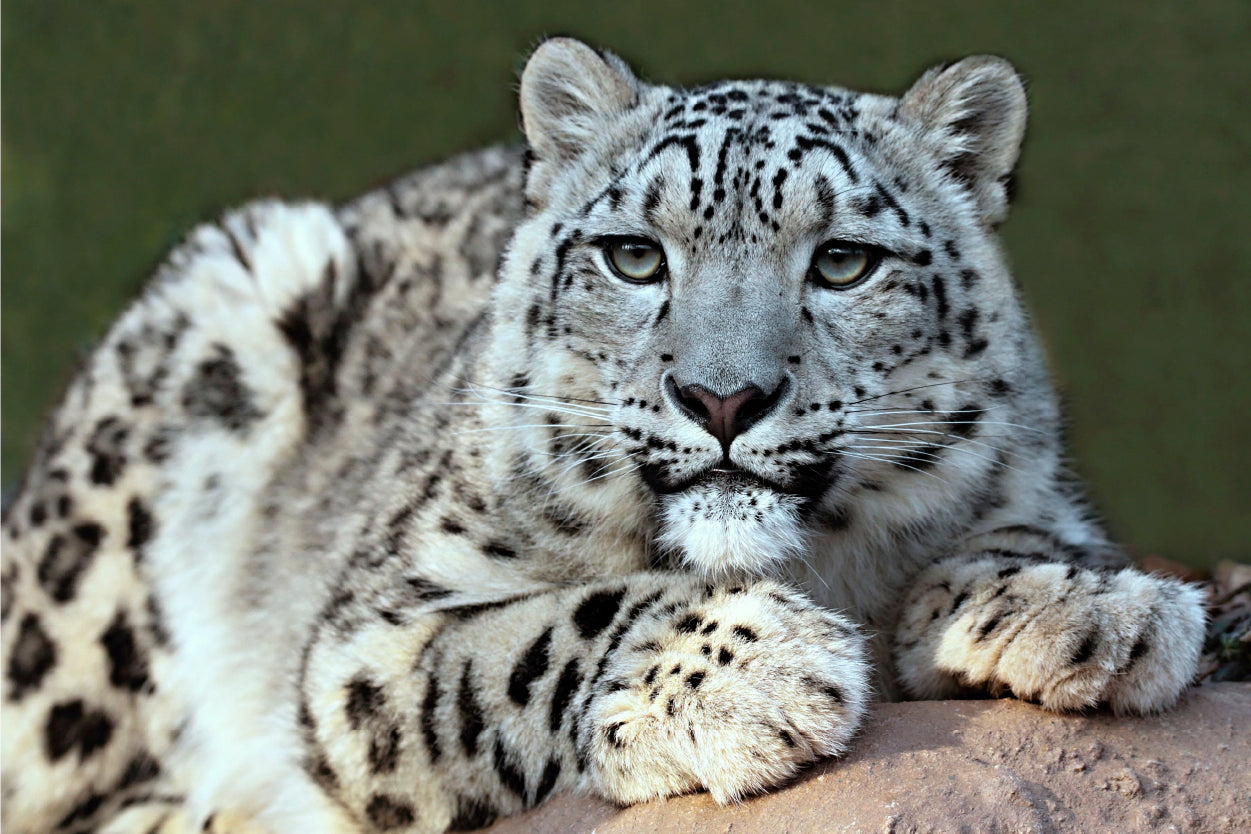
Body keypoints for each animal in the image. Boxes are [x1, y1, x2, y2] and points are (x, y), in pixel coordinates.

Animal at [1, 38, 1207, 834]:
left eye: (842, 261)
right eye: (634, 255)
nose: (723, 398)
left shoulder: (1020, 485)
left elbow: (1015, 537)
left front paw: (1088, 608)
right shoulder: (370, 643)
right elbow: (544, 630)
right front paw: (757, 673)